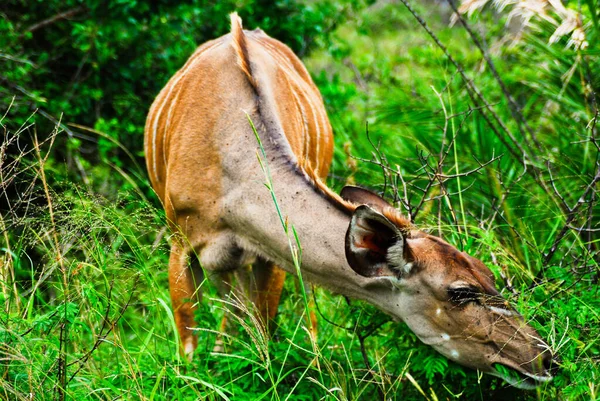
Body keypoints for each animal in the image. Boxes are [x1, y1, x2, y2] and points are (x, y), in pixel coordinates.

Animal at [144, 13, 552, 388]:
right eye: (461, 291)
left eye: (489, 274)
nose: (545, 357)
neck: (231, 169)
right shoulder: (179, 243)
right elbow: (190, 343)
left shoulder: (270, 257)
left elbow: (261, 333)